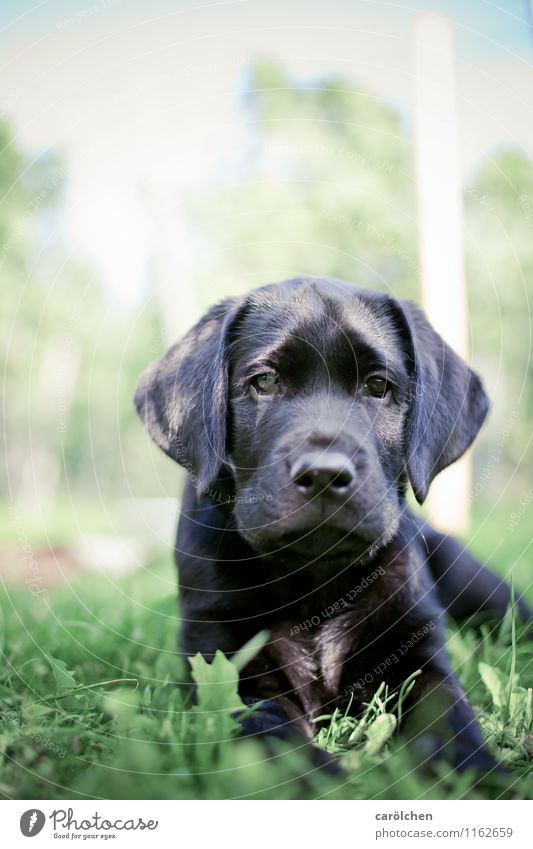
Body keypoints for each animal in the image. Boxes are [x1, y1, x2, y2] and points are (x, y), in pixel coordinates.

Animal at [136, 278, 528, 776]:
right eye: (264, 381)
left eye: (378, 386)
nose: (324, 473)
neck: (314, 583)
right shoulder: (224, 662)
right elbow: (272, 735)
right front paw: (323, 782)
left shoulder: (417, 651)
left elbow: (450, 719)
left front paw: (479, 777)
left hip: (483, 591)